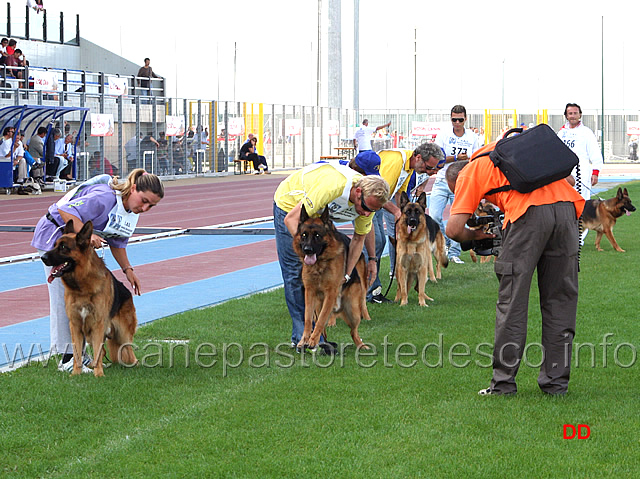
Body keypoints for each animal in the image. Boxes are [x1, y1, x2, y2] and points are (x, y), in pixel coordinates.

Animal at [42, 222, 139, 378]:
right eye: (55, 245)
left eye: (63, 247)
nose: (43, 257)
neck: (81, 287)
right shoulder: (75, 325)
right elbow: (77, 353)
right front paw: (76, 373)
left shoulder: (97, 325)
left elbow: (98, 352)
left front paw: (98, 375)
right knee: (103, 351)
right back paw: (92, 365)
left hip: (122, 333)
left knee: (128, 352)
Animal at [294, 208, 370, 350]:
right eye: (304, 235)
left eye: (317, 235)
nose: (307, 250)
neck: (319, 265)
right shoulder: (309, 292)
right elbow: (308, 319)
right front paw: (305, 339)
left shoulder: (330, 293)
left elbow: (321, 319)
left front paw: (312, 340)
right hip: (319, 305)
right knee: (322, 325)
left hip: (353, 312)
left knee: (353, 331)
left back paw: (361, 345)